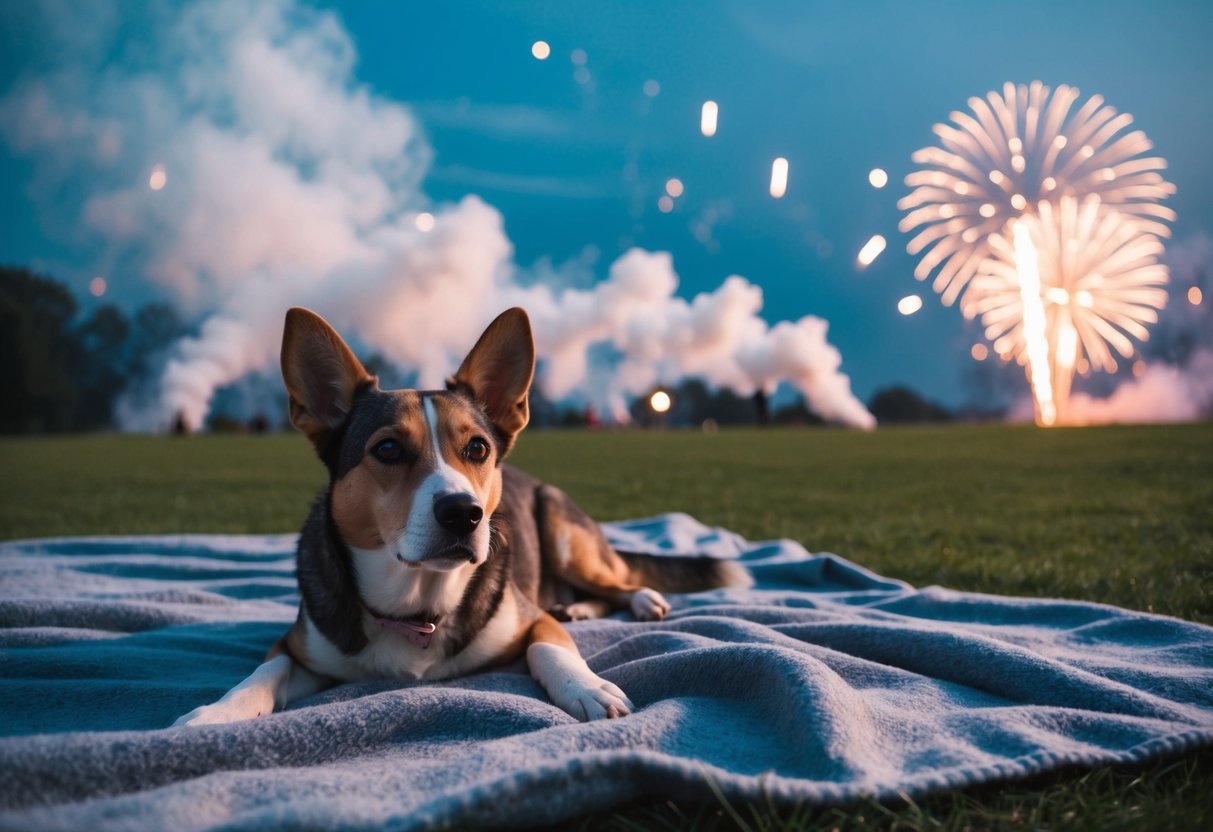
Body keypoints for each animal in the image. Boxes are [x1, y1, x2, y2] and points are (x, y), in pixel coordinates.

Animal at [174, 309, 742, 727]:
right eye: (386, 449)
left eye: (477, 448)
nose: (464, 514)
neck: (416, 603)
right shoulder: (296, 645)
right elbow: (262, 673)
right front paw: (213, 714)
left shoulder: (528, 618)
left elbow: (551, 651)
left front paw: (588, 686)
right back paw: (577, 608)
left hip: (563, 531)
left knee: (618, 580)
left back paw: (636, 600)